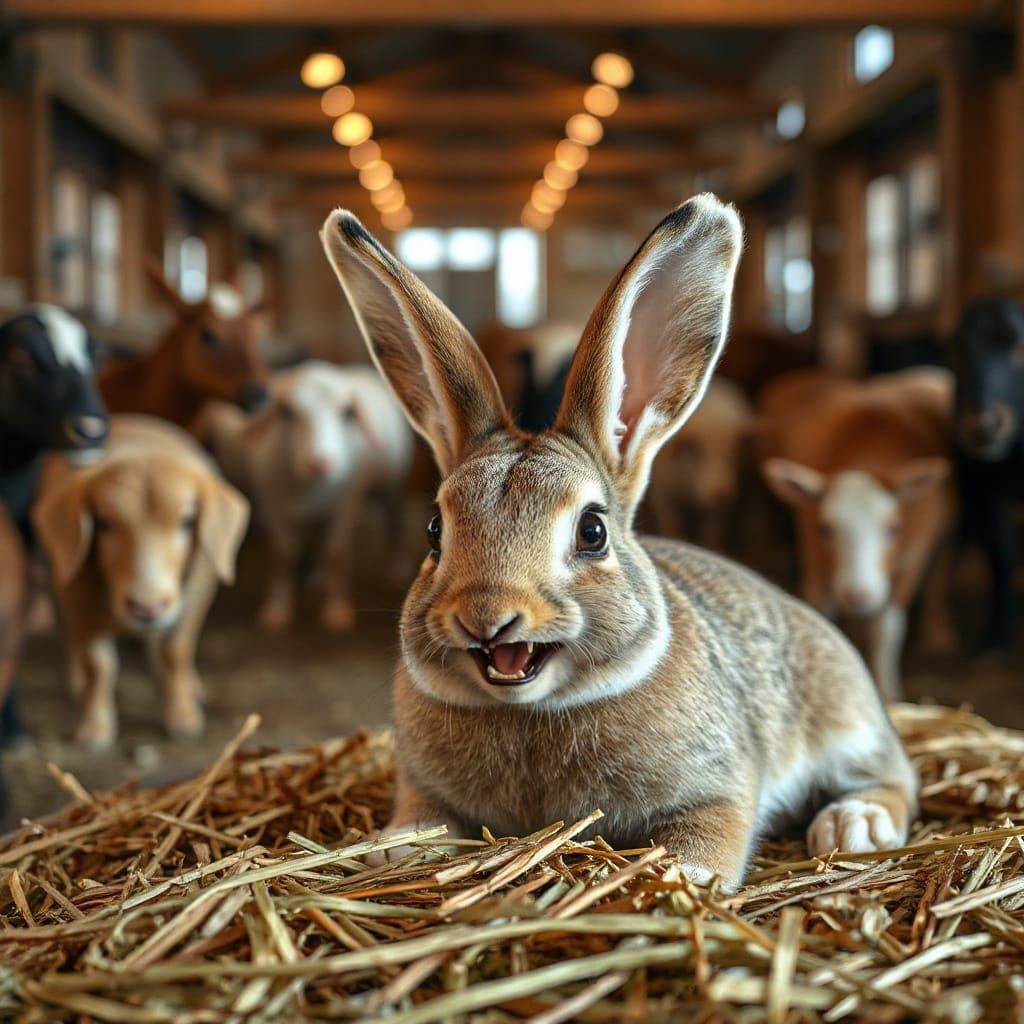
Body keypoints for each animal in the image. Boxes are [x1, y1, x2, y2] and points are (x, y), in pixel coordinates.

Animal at [320, 194, 917, 889]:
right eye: (435, 530)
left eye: (592, 531)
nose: (485, 618)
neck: (530, 707)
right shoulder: (425, 788)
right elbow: (424, 818)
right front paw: (388, 847)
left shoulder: (719, 789)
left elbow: (710, 833)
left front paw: (683, 877)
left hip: (845, 722)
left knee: (896, 779)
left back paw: (855, 825)